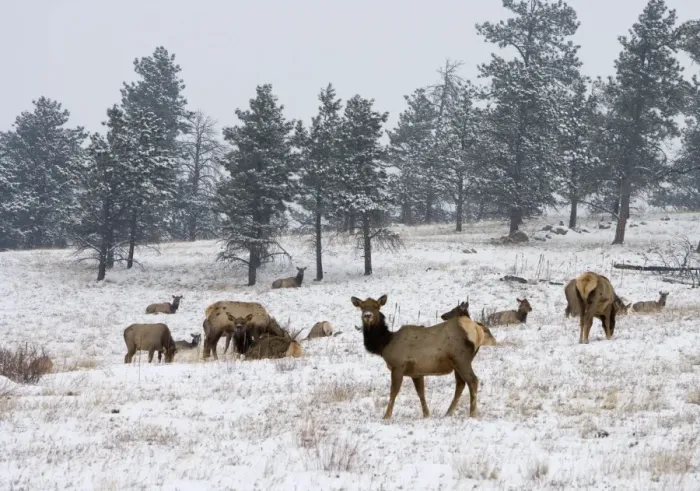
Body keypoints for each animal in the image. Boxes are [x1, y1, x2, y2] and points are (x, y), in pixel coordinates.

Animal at [351, 294, 487, 420]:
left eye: (376, 306)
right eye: (362, 307)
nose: (367, 315)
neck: (385, 343)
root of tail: (478, 330)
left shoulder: (398, 366)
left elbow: (393, 392)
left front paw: (386, 416)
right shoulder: (416, 372)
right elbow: (421, 392)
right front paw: (426, 414)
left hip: (461, 359)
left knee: (473, 380)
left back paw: (472, 413)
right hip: (457, 363)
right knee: (460, 384)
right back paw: (448, 412)